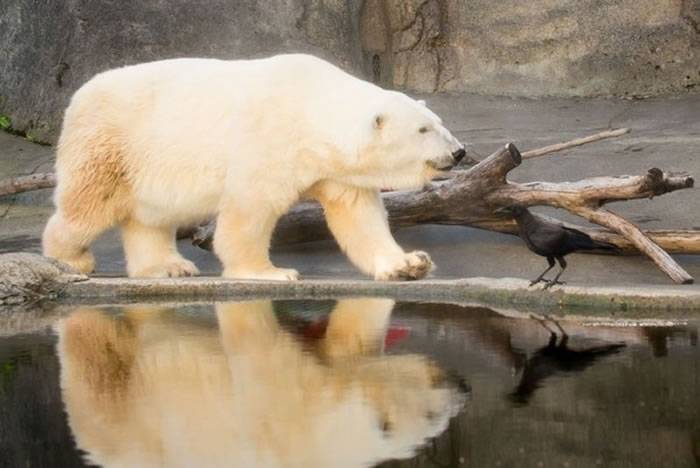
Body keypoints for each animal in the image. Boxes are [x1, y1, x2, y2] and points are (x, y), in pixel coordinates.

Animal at [42, 53, 464, 280]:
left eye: (439, 121)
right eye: (423, 129)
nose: (459, 152)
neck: (311, 108)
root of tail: (79, 95)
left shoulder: (334, 169)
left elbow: (360, 216)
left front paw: (408, 263)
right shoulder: (269, 139)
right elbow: (250, 209)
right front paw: (271, 271)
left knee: (152, 217)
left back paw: (170, 267)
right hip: (110, 144)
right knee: (87, 205)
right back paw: (70, 258)